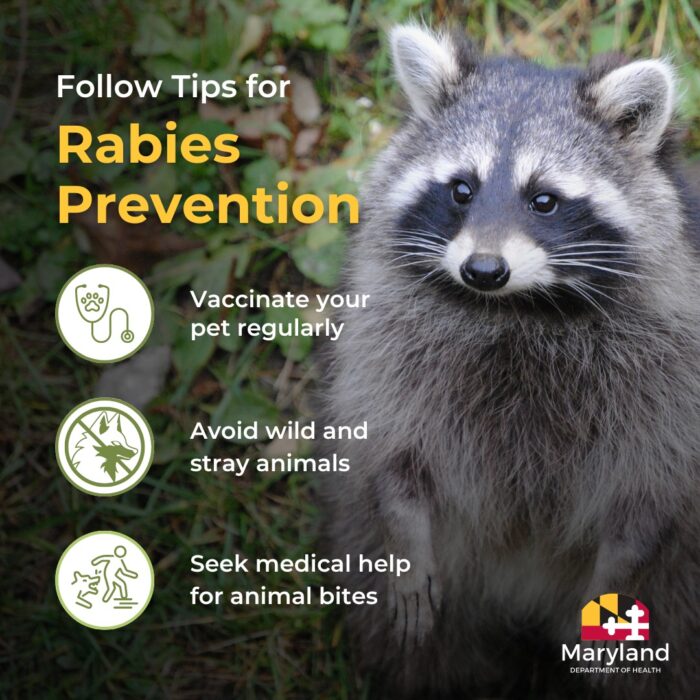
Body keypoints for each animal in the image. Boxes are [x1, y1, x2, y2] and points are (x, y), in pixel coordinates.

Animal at [320, 24, 700, 700]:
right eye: (461, 189)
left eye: (544, 200)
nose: (483, 270)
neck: (519, 308)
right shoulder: (386, 336)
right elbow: (390, 449)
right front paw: (405, 532)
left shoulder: (672, 367)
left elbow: (652, 488)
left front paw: (616, 577)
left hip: (682, 596)